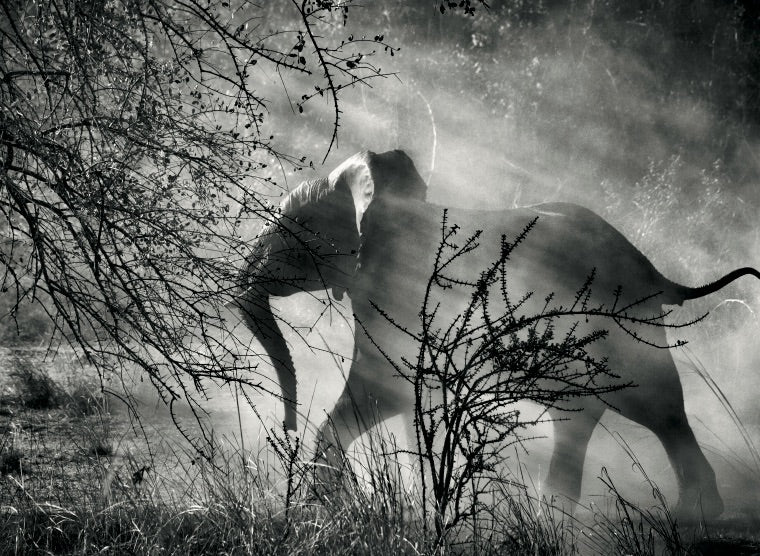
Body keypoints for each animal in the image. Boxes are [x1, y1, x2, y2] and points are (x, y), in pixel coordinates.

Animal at [237, 149, 760, 519]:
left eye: (290, 228)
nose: (284, 425)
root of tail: (654, 270)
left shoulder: (402, 294)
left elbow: (384, 388)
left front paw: (324, 506)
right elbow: (404, 398)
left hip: (621, 323)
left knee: (653, 402)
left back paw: (693, 514)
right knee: (585, 414)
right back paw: (563, 517)